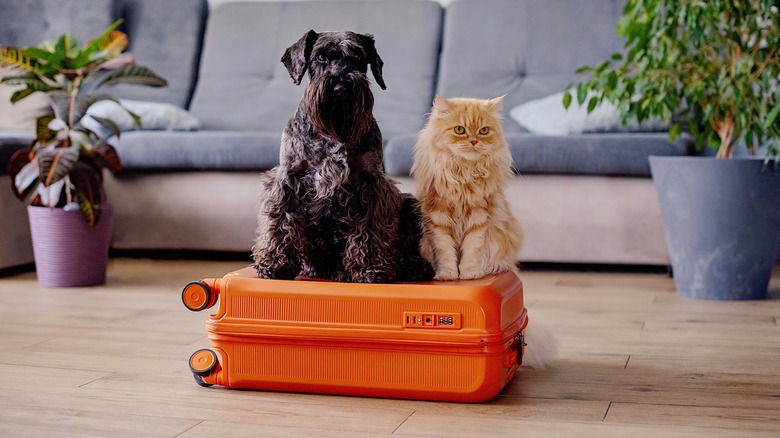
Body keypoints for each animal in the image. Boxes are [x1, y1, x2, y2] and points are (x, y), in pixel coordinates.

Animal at [253, 30, 432, 284]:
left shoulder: (371, 183)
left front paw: (369, 268)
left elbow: (370, 229)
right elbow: (281, 222)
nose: (340, 86)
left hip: (409, 203)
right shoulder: (288, 179)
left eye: (357, 57)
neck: (334, 130)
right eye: (320, 57)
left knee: (405, 248)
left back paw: (413, 266)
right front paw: (275, 264)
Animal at [408, 96, 524, 280]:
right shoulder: (438, 217)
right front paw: (447, 275)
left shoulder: (479, 216)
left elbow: (472, 249)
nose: (474, 141)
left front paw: (470, 273)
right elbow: (445, 251)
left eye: (483, 130)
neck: (464, 173)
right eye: (459, 130)